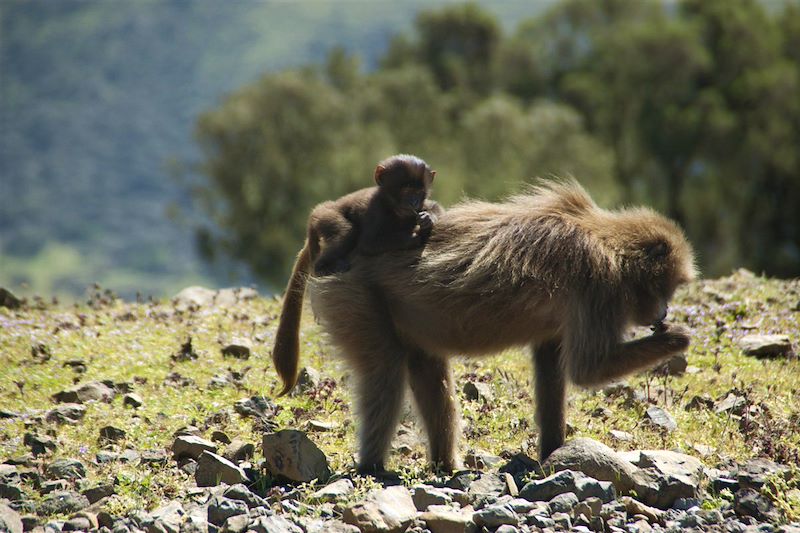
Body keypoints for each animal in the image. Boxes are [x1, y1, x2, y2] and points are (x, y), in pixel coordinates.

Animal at [272, 154, 440, 394]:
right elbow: (369, 243)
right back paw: (324, 266)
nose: (414, 203)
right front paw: (416, 235)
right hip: (326, 217)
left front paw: (429, 218)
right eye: (406, 191)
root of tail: (317, 212)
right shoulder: (376, 211)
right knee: (346, 231)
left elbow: (434, 208)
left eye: (418, 192)